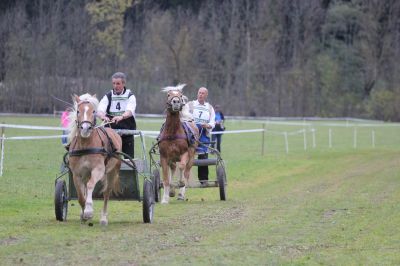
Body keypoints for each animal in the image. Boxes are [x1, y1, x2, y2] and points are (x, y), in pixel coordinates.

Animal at [68, 93, 122, 224]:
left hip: (112, 172)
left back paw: (103, 218)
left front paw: (88, 211)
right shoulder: (77, 174)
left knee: (106, 193)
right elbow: (81, 195)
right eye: (78, 111)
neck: (85, 145)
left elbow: (91, 185)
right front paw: (83, 214)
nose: (85, 128)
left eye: (93, 111)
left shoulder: (98, 170)